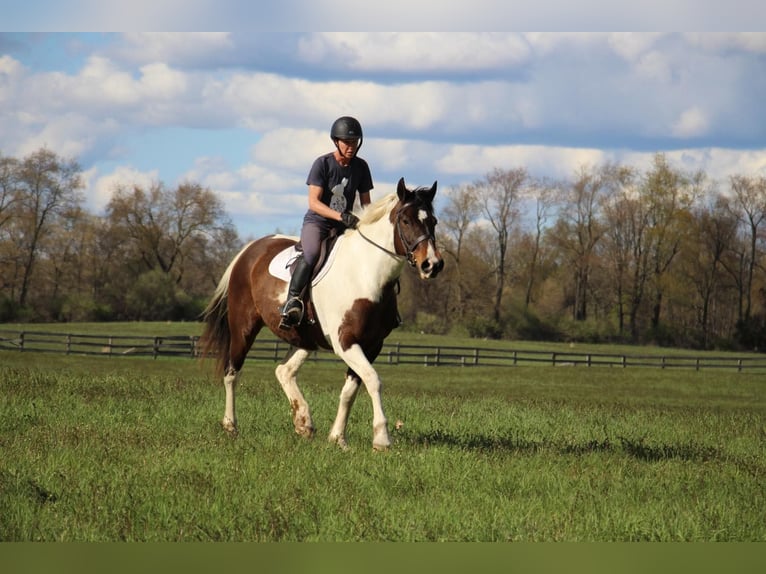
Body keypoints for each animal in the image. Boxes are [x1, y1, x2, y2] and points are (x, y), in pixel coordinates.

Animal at [201, 178, 448, 452]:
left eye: (433, 221)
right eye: (405, 221)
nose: (432, 264)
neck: (366, 274)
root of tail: (250, 250)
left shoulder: (371, 345)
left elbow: (350, 390)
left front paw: (338, 437)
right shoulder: (346, 343)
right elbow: (373, 380)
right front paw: (382, 438)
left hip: (306, 338)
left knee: (284, 371)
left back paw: (303, 422)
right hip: (243, 328)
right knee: (232, 372)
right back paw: (231, 426)